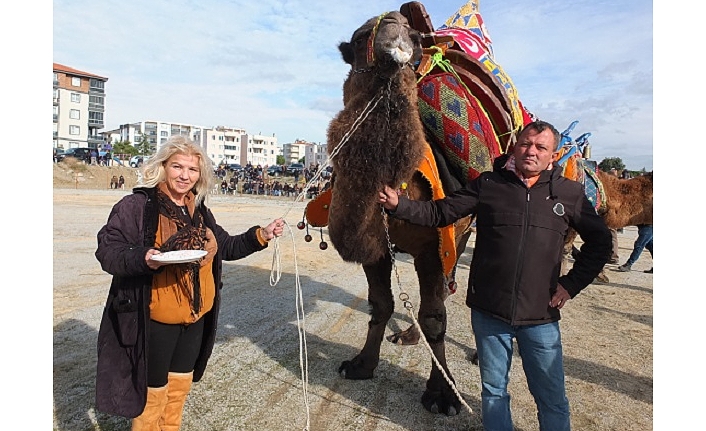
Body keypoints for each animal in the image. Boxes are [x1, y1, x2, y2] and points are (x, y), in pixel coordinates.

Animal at [324, 9, 490, 416]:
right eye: (360, 37)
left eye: (415, 40)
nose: (396, 24)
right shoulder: (377, 248)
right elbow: (382, 304)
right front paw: (362, 365)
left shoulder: (433, 246)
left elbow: (434, 318)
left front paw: (442, 395)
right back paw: (409, 336)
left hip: (463, 232)